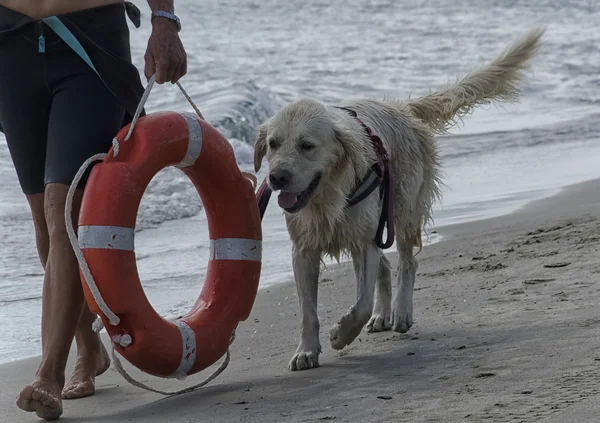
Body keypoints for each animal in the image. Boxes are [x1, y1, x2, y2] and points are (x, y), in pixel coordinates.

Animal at [253, 29, 544, 372]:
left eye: (307, 145)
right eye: (273, 144)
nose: (276, 177)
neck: (328, 195)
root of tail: (402, 109)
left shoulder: (363, 241)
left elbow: (362, 302)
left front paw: (342, 334)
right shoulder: (304, 250)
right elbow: (308, 311)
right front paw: (306, 351)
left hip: (403, 209)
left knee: (407, 261)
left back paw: (401, 311)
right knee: (387, 263)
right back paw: (383, 315)